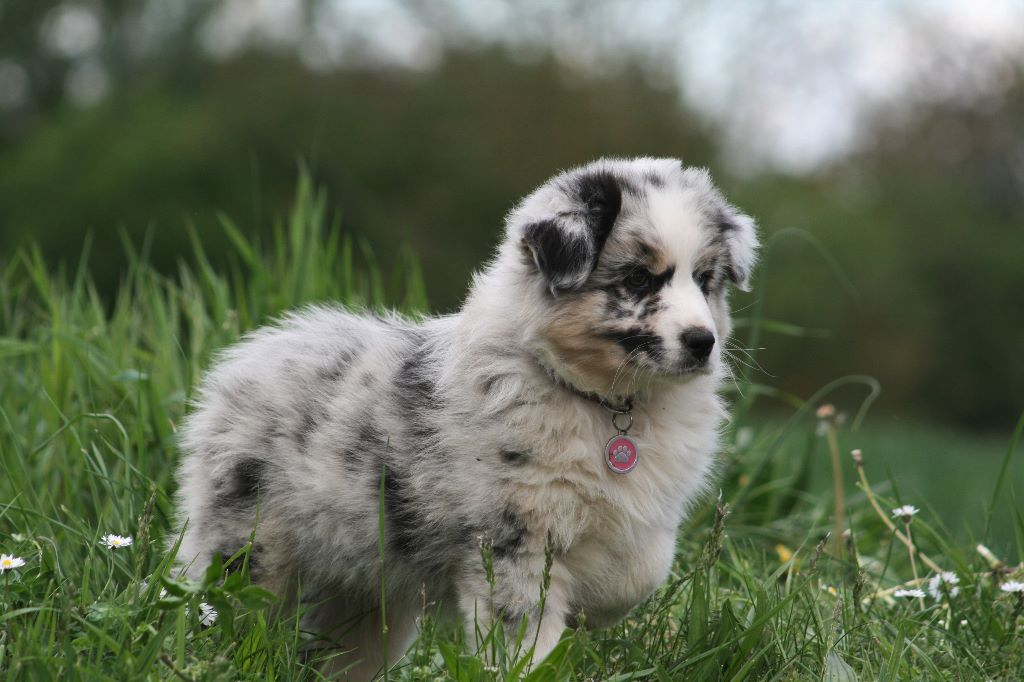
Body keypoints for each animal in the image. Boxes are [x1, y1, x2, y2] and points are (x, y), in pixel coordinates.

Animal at [173, 157, 758, 679]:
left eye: (705, 280)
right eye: (638, 278)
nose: (703, 342)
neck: (607, 405)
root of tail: (246, 357)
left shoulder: (644, 517)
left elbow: (643, 572)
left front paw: (598, 603)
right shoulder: (512, 539)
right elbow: (525, 631)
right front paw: (530, 664)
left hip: (366, 598)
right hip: (246, 545)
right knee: (215, 607)